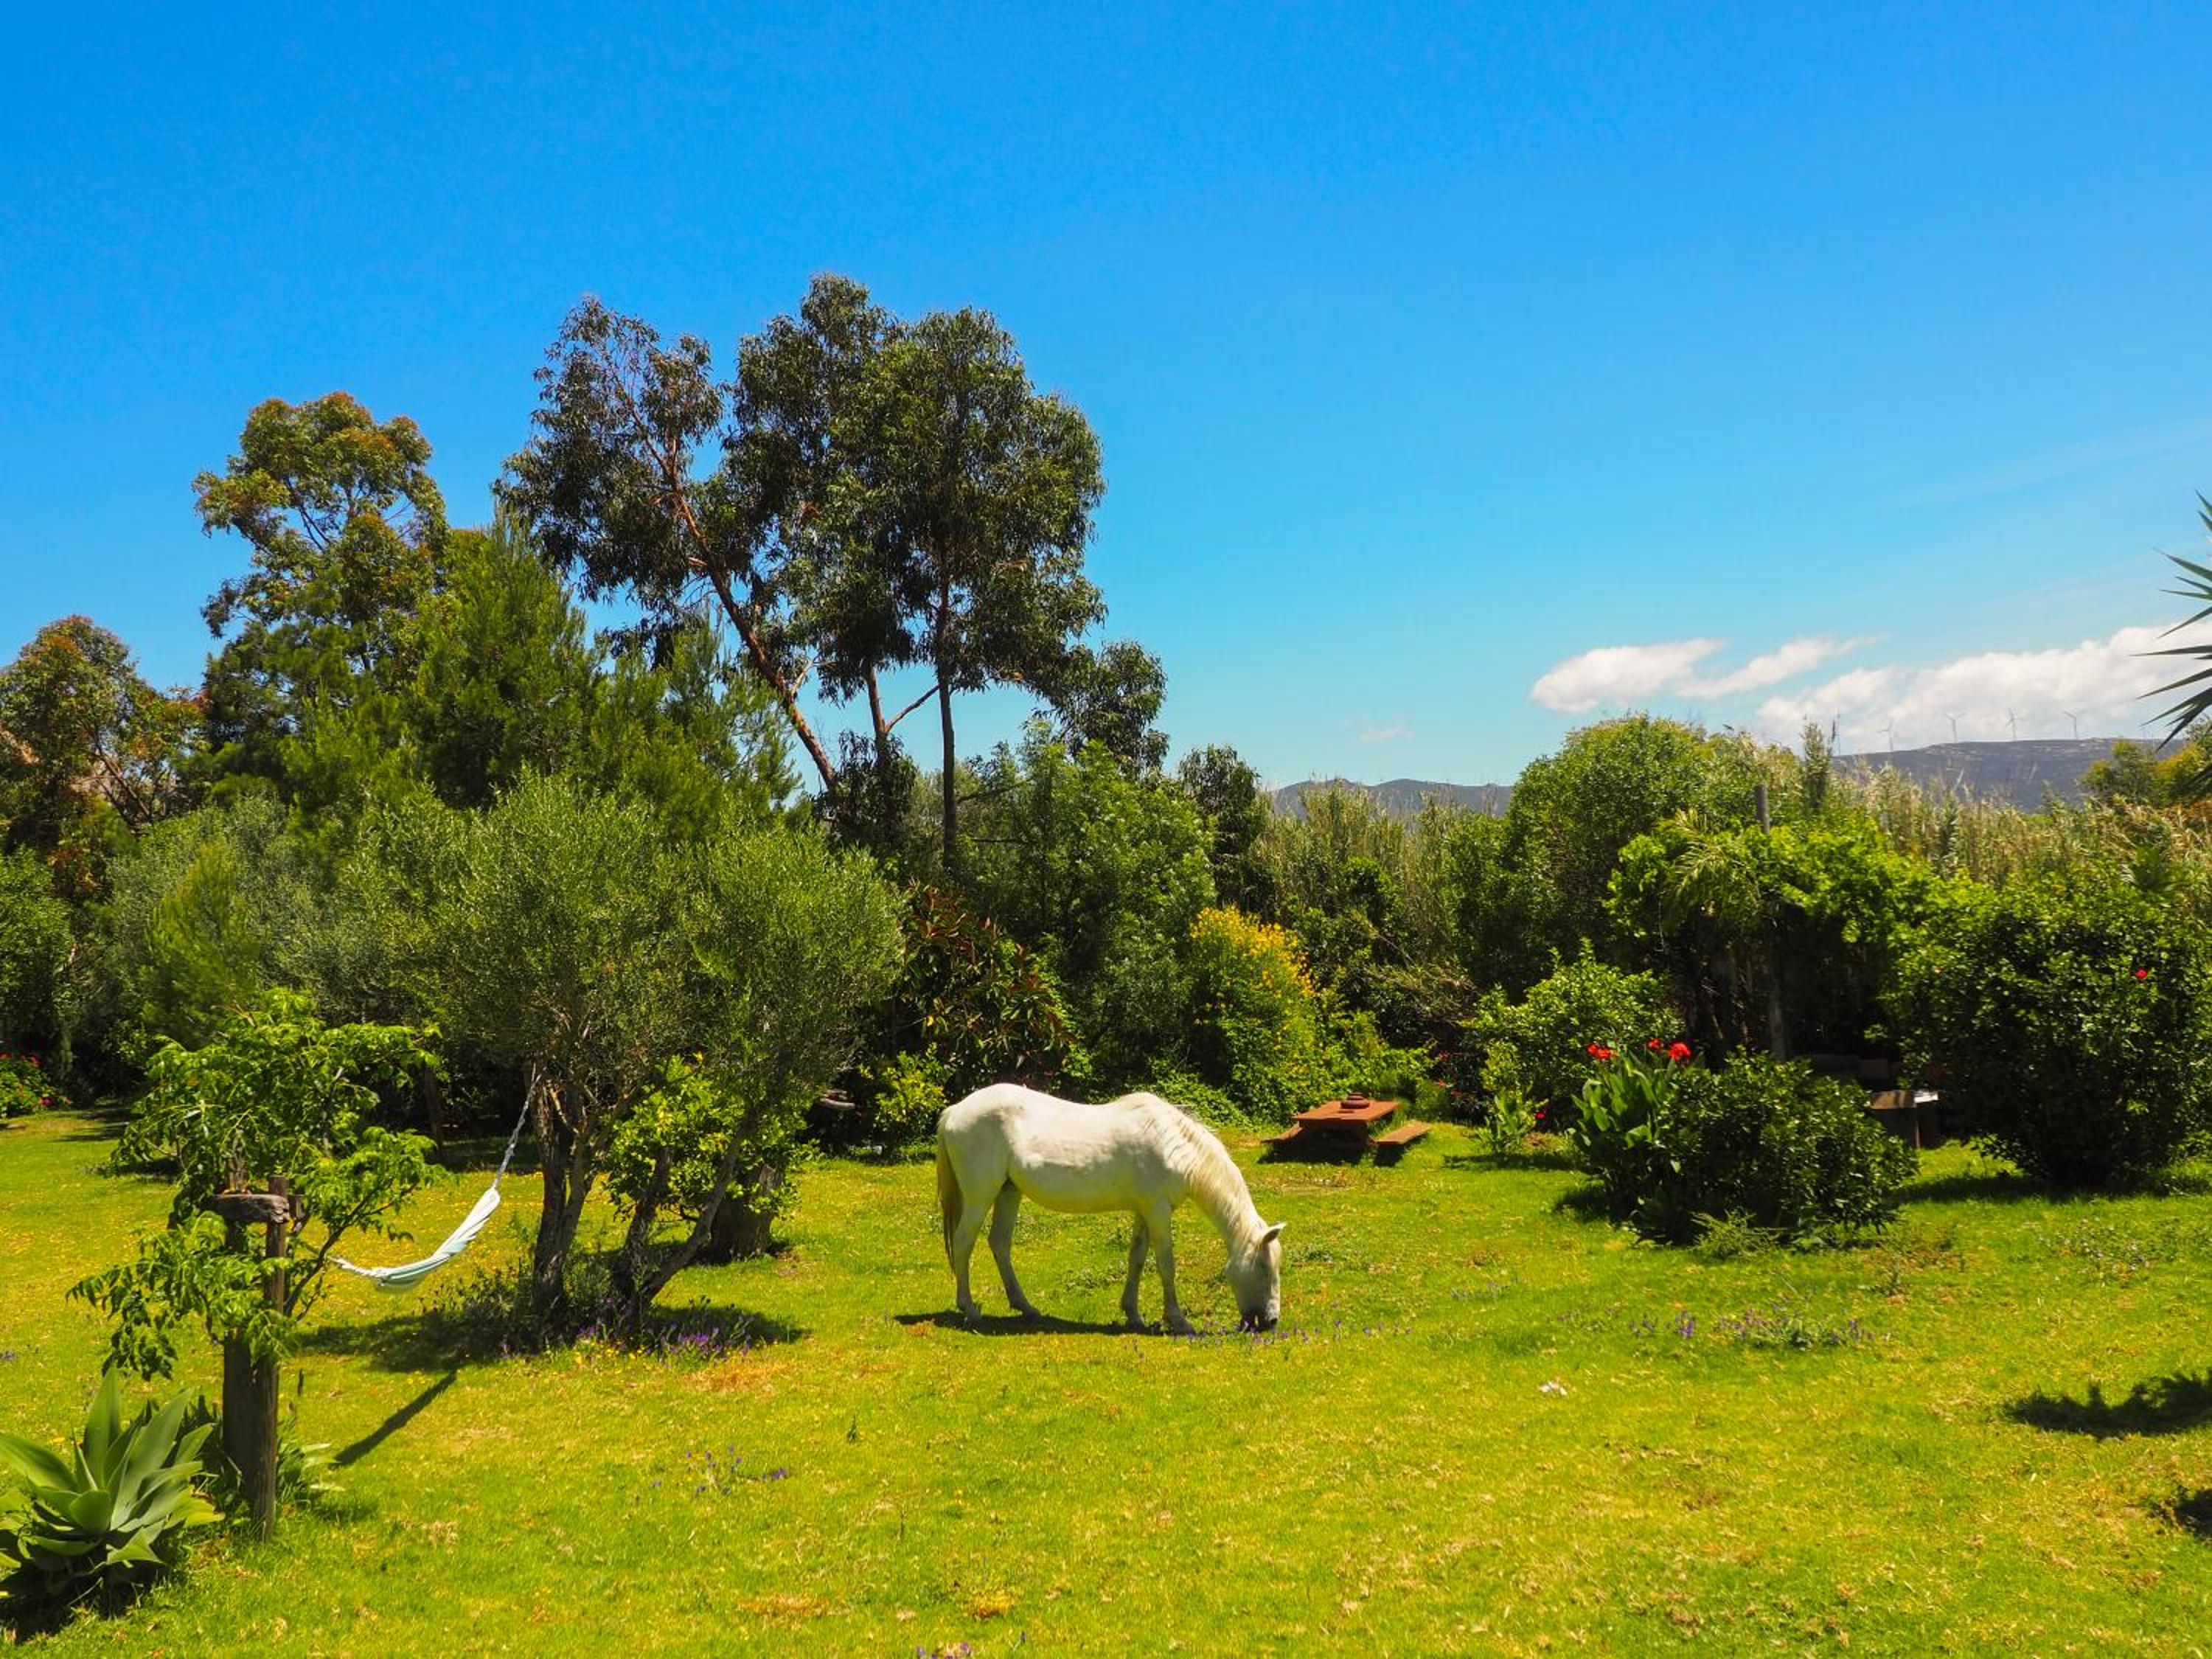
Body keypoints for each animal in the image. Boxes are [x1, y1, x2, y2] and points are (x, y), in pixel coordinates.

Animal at [934, 1083, 1285, 1334]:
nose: (1271, 1322)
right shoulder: (1157, 1211)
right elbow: (1166, 1265)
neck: (1172, 1145)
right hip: (981, 1196)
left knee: (1000, 1243)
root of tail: (955, 1111)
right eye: (1264, 1267)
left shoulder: (1144, 1211)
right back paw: (970, 1309)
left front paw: (1133, 1314)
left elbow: (1137, 1259)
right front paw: (1177, 1320)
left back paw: (1026, 1307)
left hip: (1009, 1192)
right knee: (964, 1242)